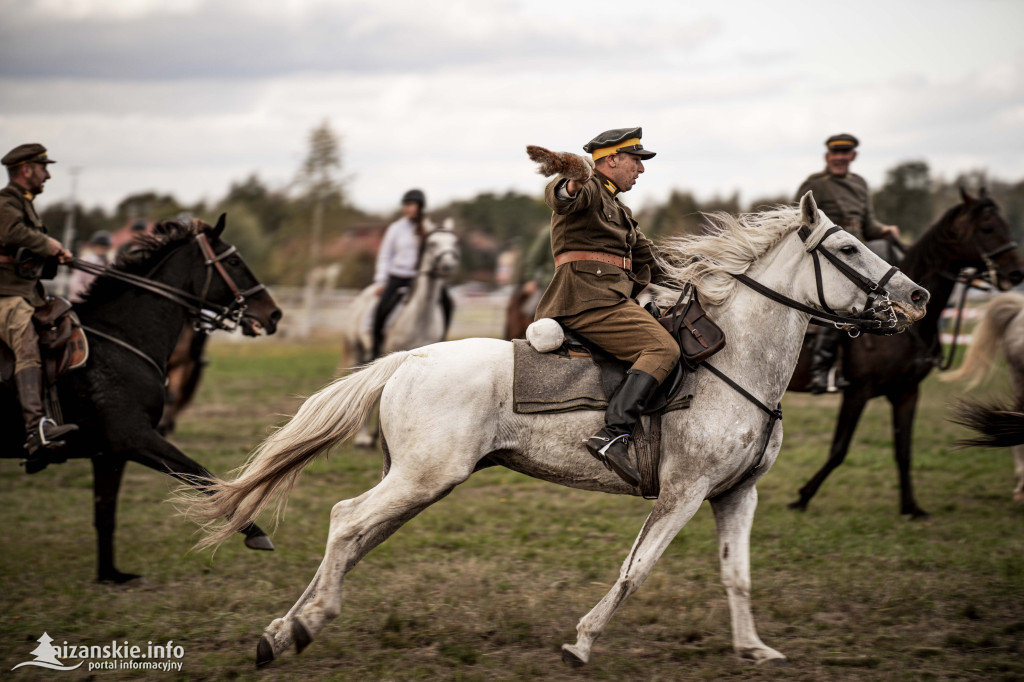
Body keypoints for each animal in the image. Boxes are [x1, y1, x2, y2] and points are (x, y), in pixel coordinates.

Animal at [1, 215, 280, 581]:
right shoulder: (135, 439)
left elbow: (105, 513)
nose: (273, 314)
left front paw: (110, 575)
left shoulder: (109, 453)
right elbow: (200, 474)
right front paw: (254, 531)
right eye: (233, 261)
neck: (121, 339)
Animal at [180, 193, 933, 667]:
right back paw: (297, 626)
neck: (735, 360)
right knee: (345, 520)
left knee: (357, 534)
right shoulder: (682, 493)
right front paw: (582, 642)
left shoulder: (734, 495)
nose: (918, 295)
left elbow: (737, 576)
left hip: (419, 483)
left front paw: (753, 648)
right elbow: (635, 571)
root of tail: (410, 357)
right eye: (847, 246)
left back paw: (292, 628)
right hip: (422, 478)